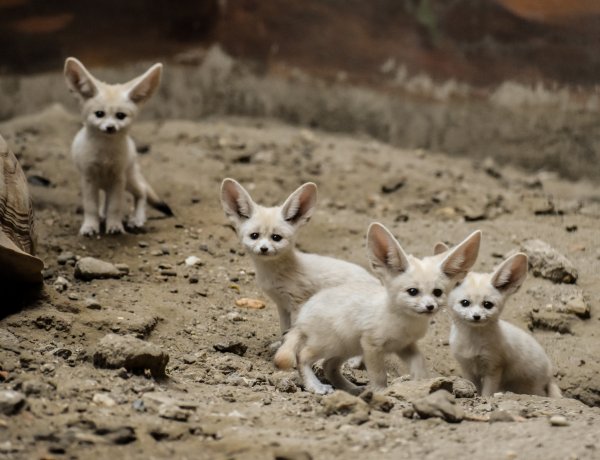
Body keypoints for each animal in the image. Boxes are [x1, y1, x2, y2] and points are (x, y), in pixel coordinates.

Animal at [64, 57, 172, 235]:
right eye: (99, 114)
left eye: (120, 116)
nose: (110, 128)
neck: (105, 156)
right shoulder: (88, 178)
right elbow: (91, 207)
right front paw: (90, 226)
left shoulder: (118, 178)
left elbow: (115, 207)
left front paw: (114, 226)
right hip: (110, 183)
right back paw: (103, 216)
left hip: (129, 179)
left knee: (142, 191)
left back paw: (137, 218)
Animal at [220, 181, 380, 338]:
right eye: (254, 236)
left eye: (276, 238)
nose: (264, 249)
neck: (272, 274)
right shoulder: (282, 305)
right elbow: (284, 329)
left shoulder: (298, 302)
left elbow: (293, 332)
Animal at [274, 224, 480, 396]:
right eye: (413, 291)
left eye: (437, 292)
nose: (430, 307)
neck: (404, 322)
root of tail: (302, 317)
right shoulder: (371, 345)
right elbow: (379, 373)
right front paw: (381, 391)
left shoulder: (405, 345)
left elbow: (419, 363)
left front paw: (421, 382)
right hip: (329, 344)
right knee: (302, 356)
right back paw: (316, 386)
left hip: (346, 347)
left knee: (328, 365)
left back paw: (351, 388)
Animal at [446, 253, 564, 398]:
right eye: (465, 303)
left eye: (487, 305)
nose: (476, 316)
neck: (472, 343)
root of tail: (549, 373)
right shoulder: (467, 367)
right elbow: (474, 388)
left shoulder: (494, 367)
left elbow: (487, 393)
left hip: (531, 388)